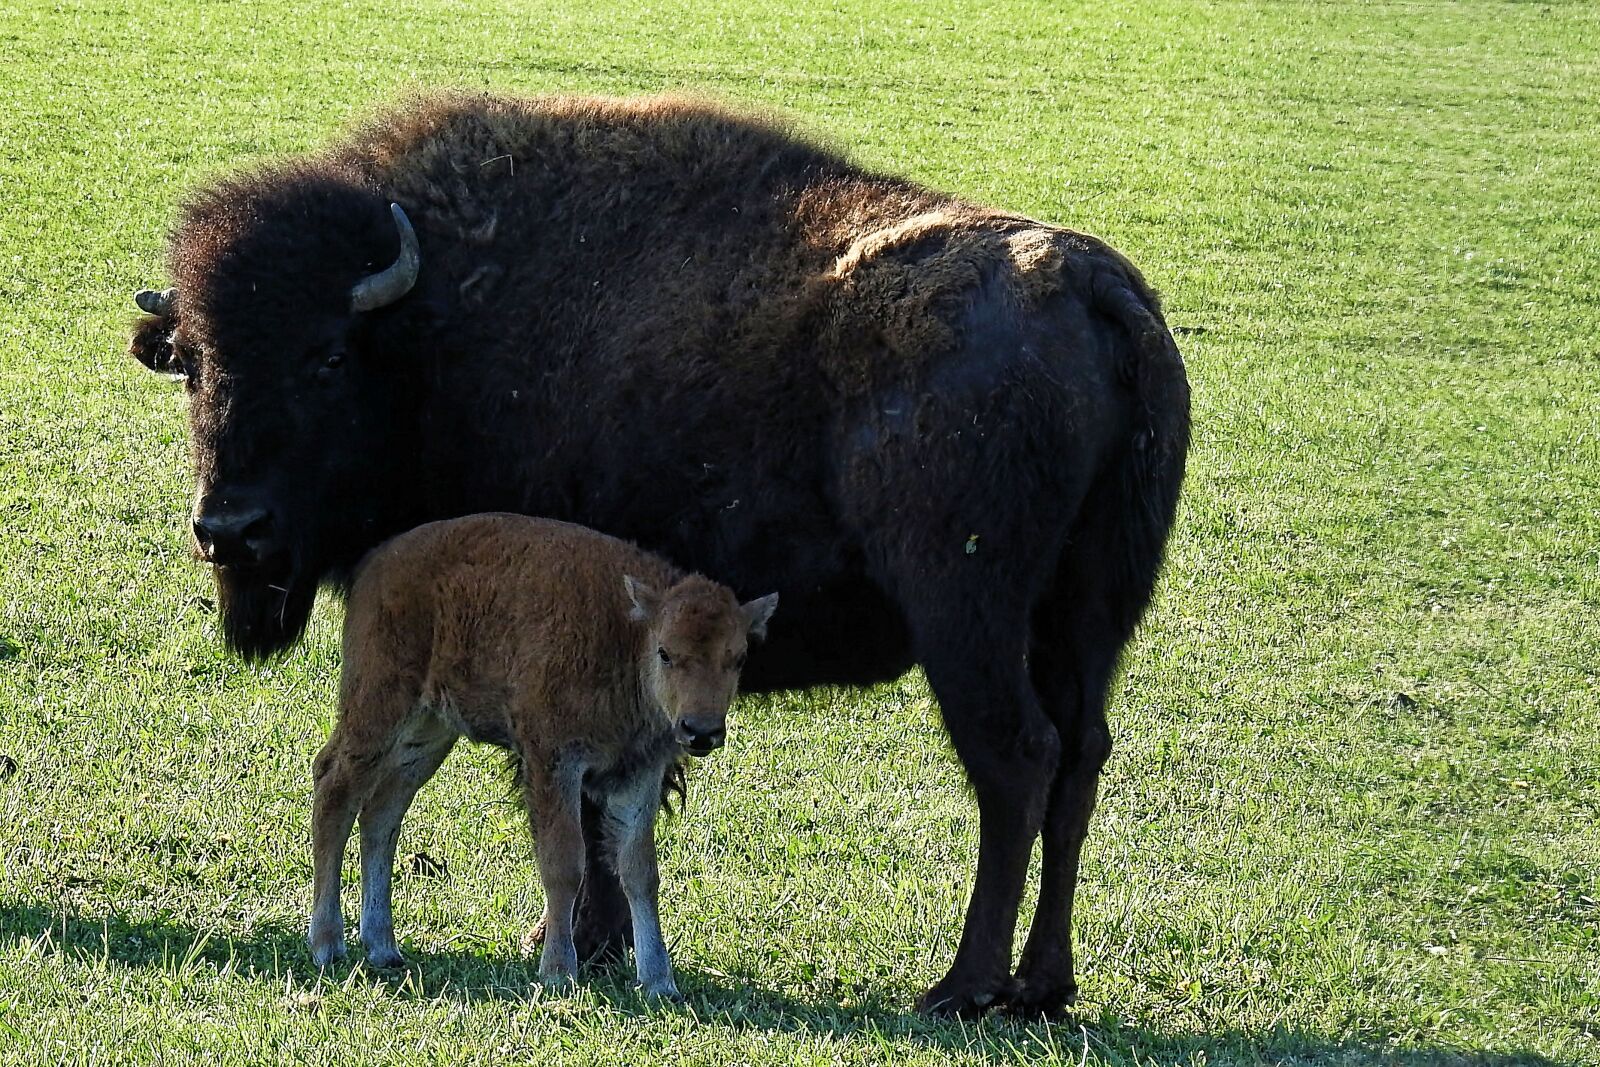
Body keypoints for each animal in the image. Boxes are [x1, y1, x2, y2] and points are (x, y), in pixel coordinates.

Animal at [310, 512, 777, 998]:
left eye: (738, 657)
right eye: (666, 652)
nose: (701, 730)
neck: (627, 635)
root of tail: (375, 566)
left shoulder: (640, 773)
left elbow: (639, 870)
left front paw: (658, 981)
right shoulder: (554, 761)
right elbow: (565, 861)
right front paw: (557, 971)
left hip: (428, 733)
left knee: (382, 814)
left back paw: (383, 947)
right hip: (378, 708)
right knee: (335, 788)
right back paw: (327, 943)